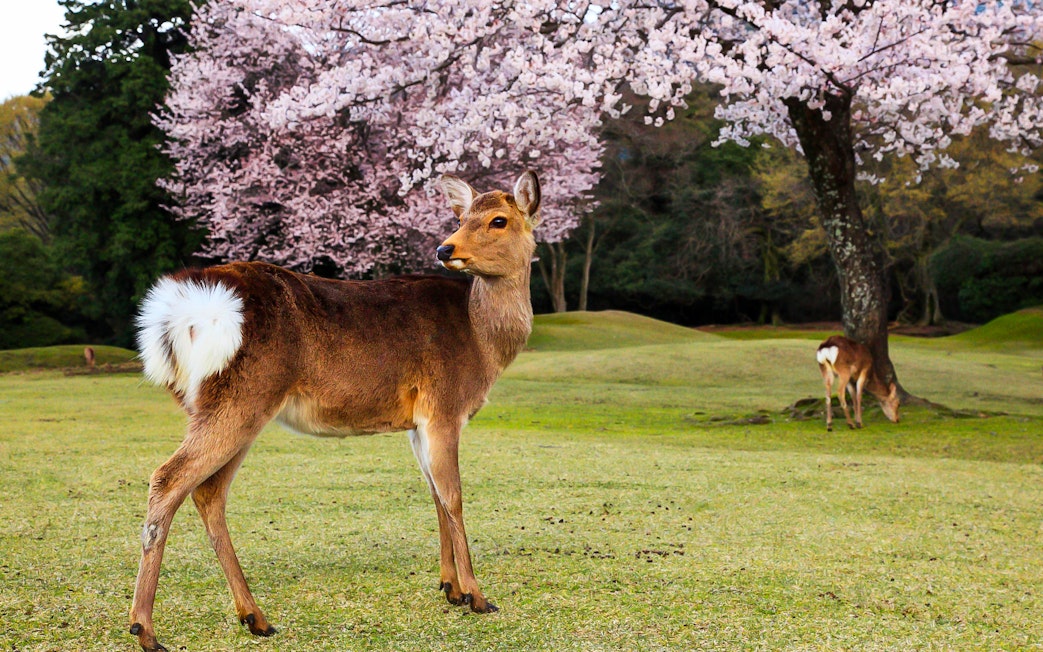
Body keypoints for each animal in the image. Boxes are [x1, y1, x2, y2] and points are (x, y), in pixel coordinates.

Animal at [128, 171, 542, 652]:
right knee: (168, 479)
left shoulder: (418, 421)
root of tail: (174, 313)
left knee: (208, 492)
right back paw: (145, 628)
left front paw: (450, 589)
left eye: (498, 220)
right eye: (460, 218)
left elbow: (436, 495)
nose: (445, 248)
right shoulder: (445, 404)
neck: (482, 340)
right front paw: (478, 597)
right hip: (241, 397)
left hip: (221, 406)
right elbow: (454, 496)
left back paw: (254, 617)